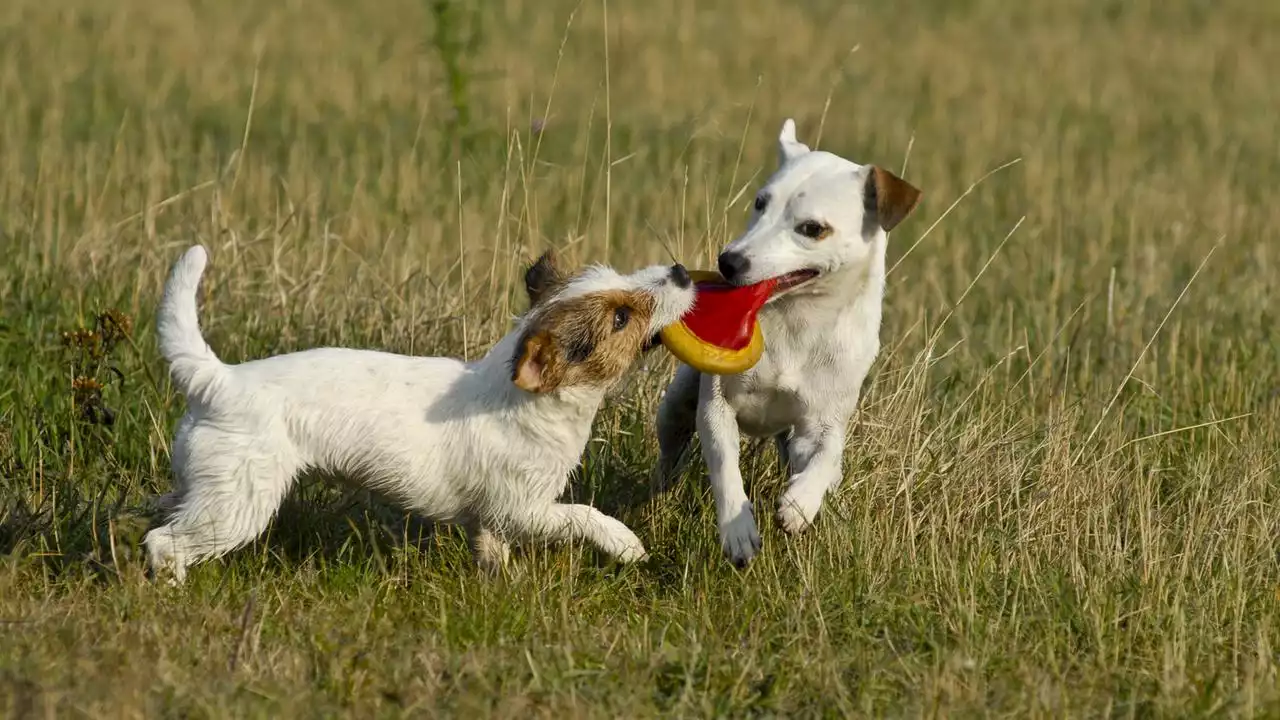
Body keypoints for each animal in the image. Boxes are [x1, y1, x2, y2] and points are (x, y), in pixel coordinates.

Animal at [145, 243, 696, 579]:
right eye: (620, 318)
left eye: (616, 274)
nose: (682, 271)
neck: (525, 397)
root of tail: (220, 381)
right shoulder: (523, 508)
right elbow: (583, 515)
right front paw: (626, 544)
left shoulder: (492, 521)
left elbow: (493, 553)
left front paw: (504, 585)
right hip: (237, 505)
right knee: (162, 542)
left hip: (208, 486)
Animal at [660, 119, 921, 566]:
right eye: (760, 202)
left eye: (812, 229)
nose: (728, 261)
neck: (798, 321)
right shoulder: (717, 407)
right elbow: (725, 465)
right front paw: (739, 531)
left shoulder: (822, 420)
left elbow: (827, 454)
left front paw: (800, 505)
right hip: (676, 406)